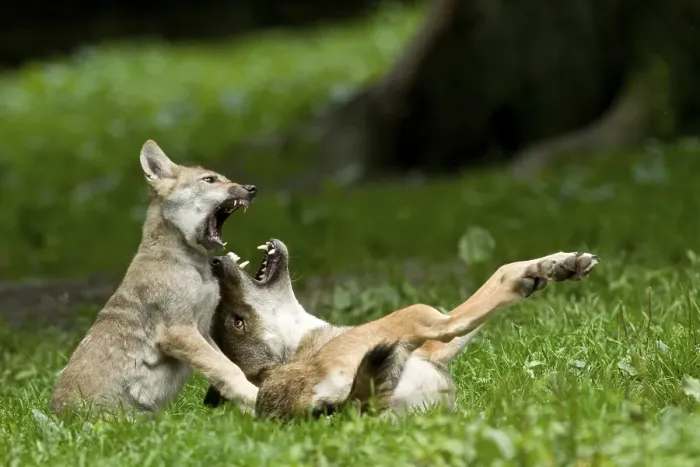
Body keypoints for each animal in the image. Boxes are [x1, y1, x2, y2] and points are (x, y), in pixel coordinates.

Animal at [50, 140, 260, 415]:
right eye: (209, 179)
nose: (252, 189)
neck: (191, 264)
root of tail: (57, 415)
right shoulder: (179, 331)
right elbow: (228, 370)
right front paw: (259, 401)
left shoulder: (202, 330)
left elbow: (227, 369)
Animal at [203, 238, 599, 419]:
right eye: (237, 322)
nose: (215, 263)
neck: (301, 345)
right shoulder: (423, 336)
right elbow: (490, 286)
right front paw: (545, 270)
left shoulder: (431, 352)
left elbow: (498, 277)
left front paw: (556, 265)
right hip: (413, 315)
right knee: (446, 318)